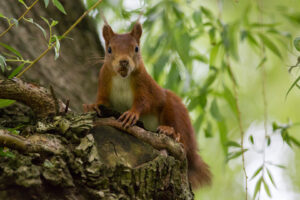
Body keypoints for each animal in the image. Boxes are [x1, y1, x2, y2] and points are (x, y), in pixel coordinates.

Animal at [83, 21, 212, 188]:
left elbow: (144, 102)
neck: (122, 79)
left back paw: (171, 132)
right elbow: (102, 101)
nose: (123, 62)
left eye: (136, 48)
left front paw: (132, 114)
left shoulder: (145, 86)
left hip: (175, 110)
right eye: (109, 49)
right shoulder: (104, 84)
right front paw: (92, 106)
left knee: (182, 138)